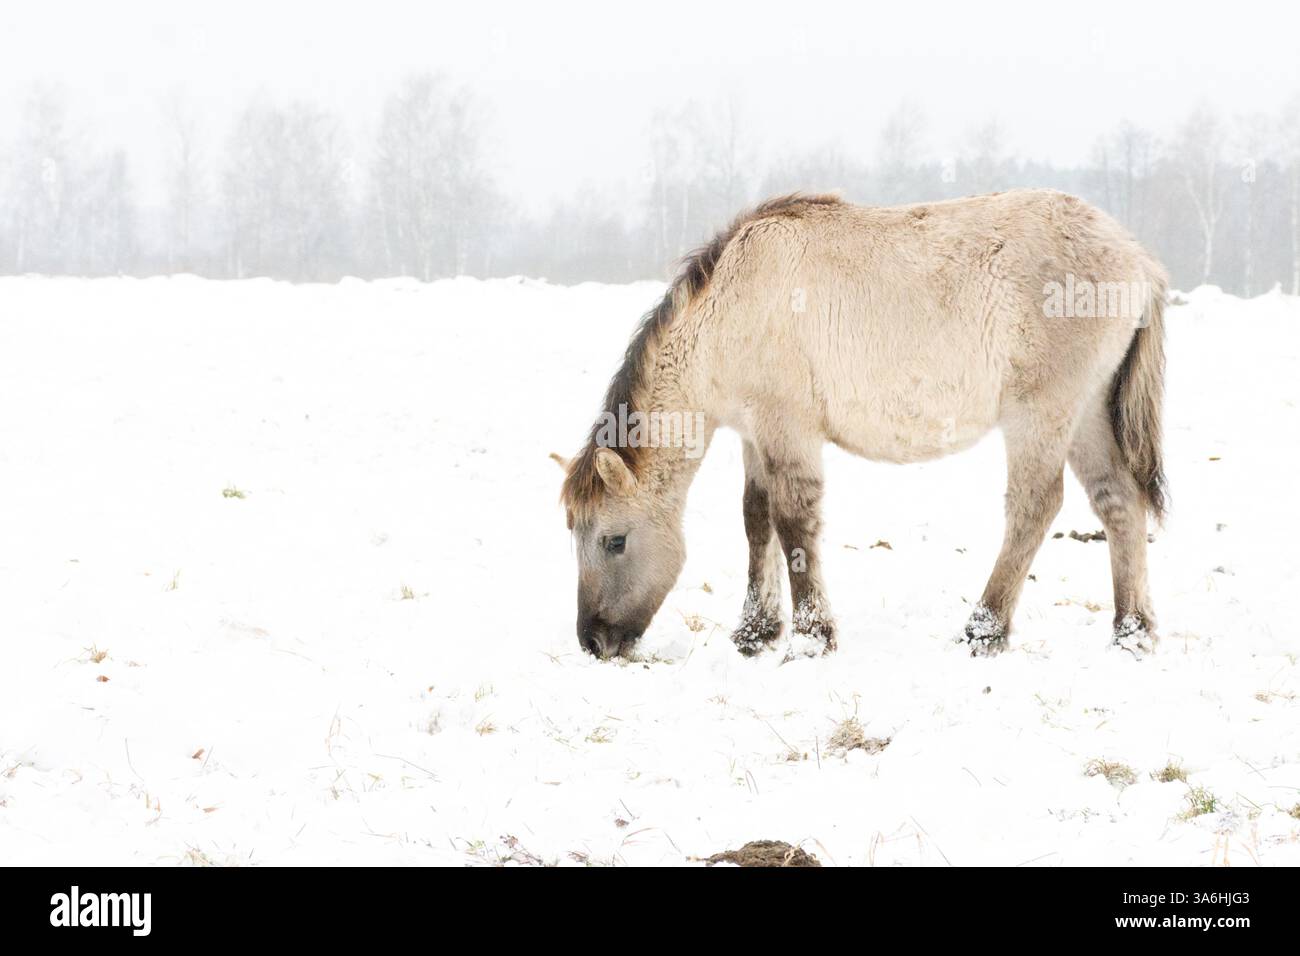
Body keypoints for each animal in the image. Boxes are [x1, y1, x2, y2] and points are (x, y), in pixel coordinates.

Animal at [557, 189, 1167, 661]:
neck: (729, 309)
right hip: (1087, 414)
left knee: (1034, 507)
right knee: (1119, 502)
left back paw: (984, 630)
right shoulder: (755, 434)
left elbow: (793, 523)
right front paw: (755, 632)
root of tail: (1137, 257)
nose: (594, 641)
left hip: (1042, 414)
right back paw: (1131, 632)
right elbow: (757, 521)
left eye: (614, 541)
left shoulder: (787, 428)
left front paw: (810, 637)